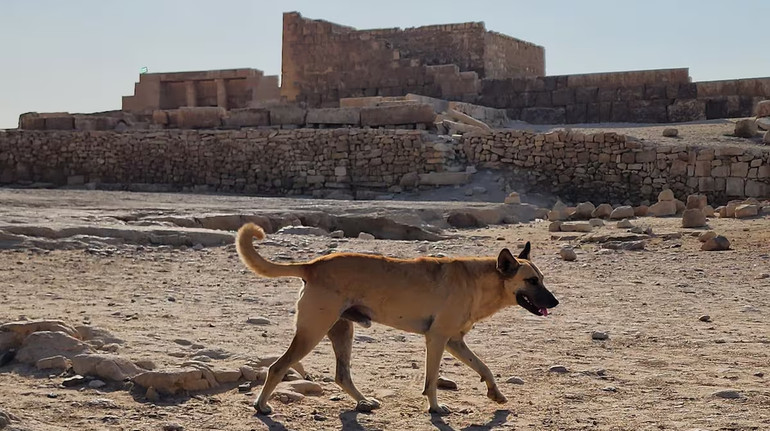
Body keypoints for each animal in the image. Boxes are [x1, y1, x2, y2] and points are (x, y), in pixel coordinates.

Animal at [234, 223, 560, 416]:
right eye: (531, 281)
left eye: (542, 279)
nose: (556, 302)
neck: (480, 281)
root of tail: (313, 265)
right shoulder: (437, 339)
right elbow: (431, 380)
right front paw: (435, 408)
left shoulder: (455, 342)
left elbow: (484, 367)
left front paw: (496, 394)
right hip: (312, 332)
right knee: (278, 367)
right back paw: (261, 405)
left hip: (342, 332)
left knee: (341, 375)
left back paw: (363, 401)